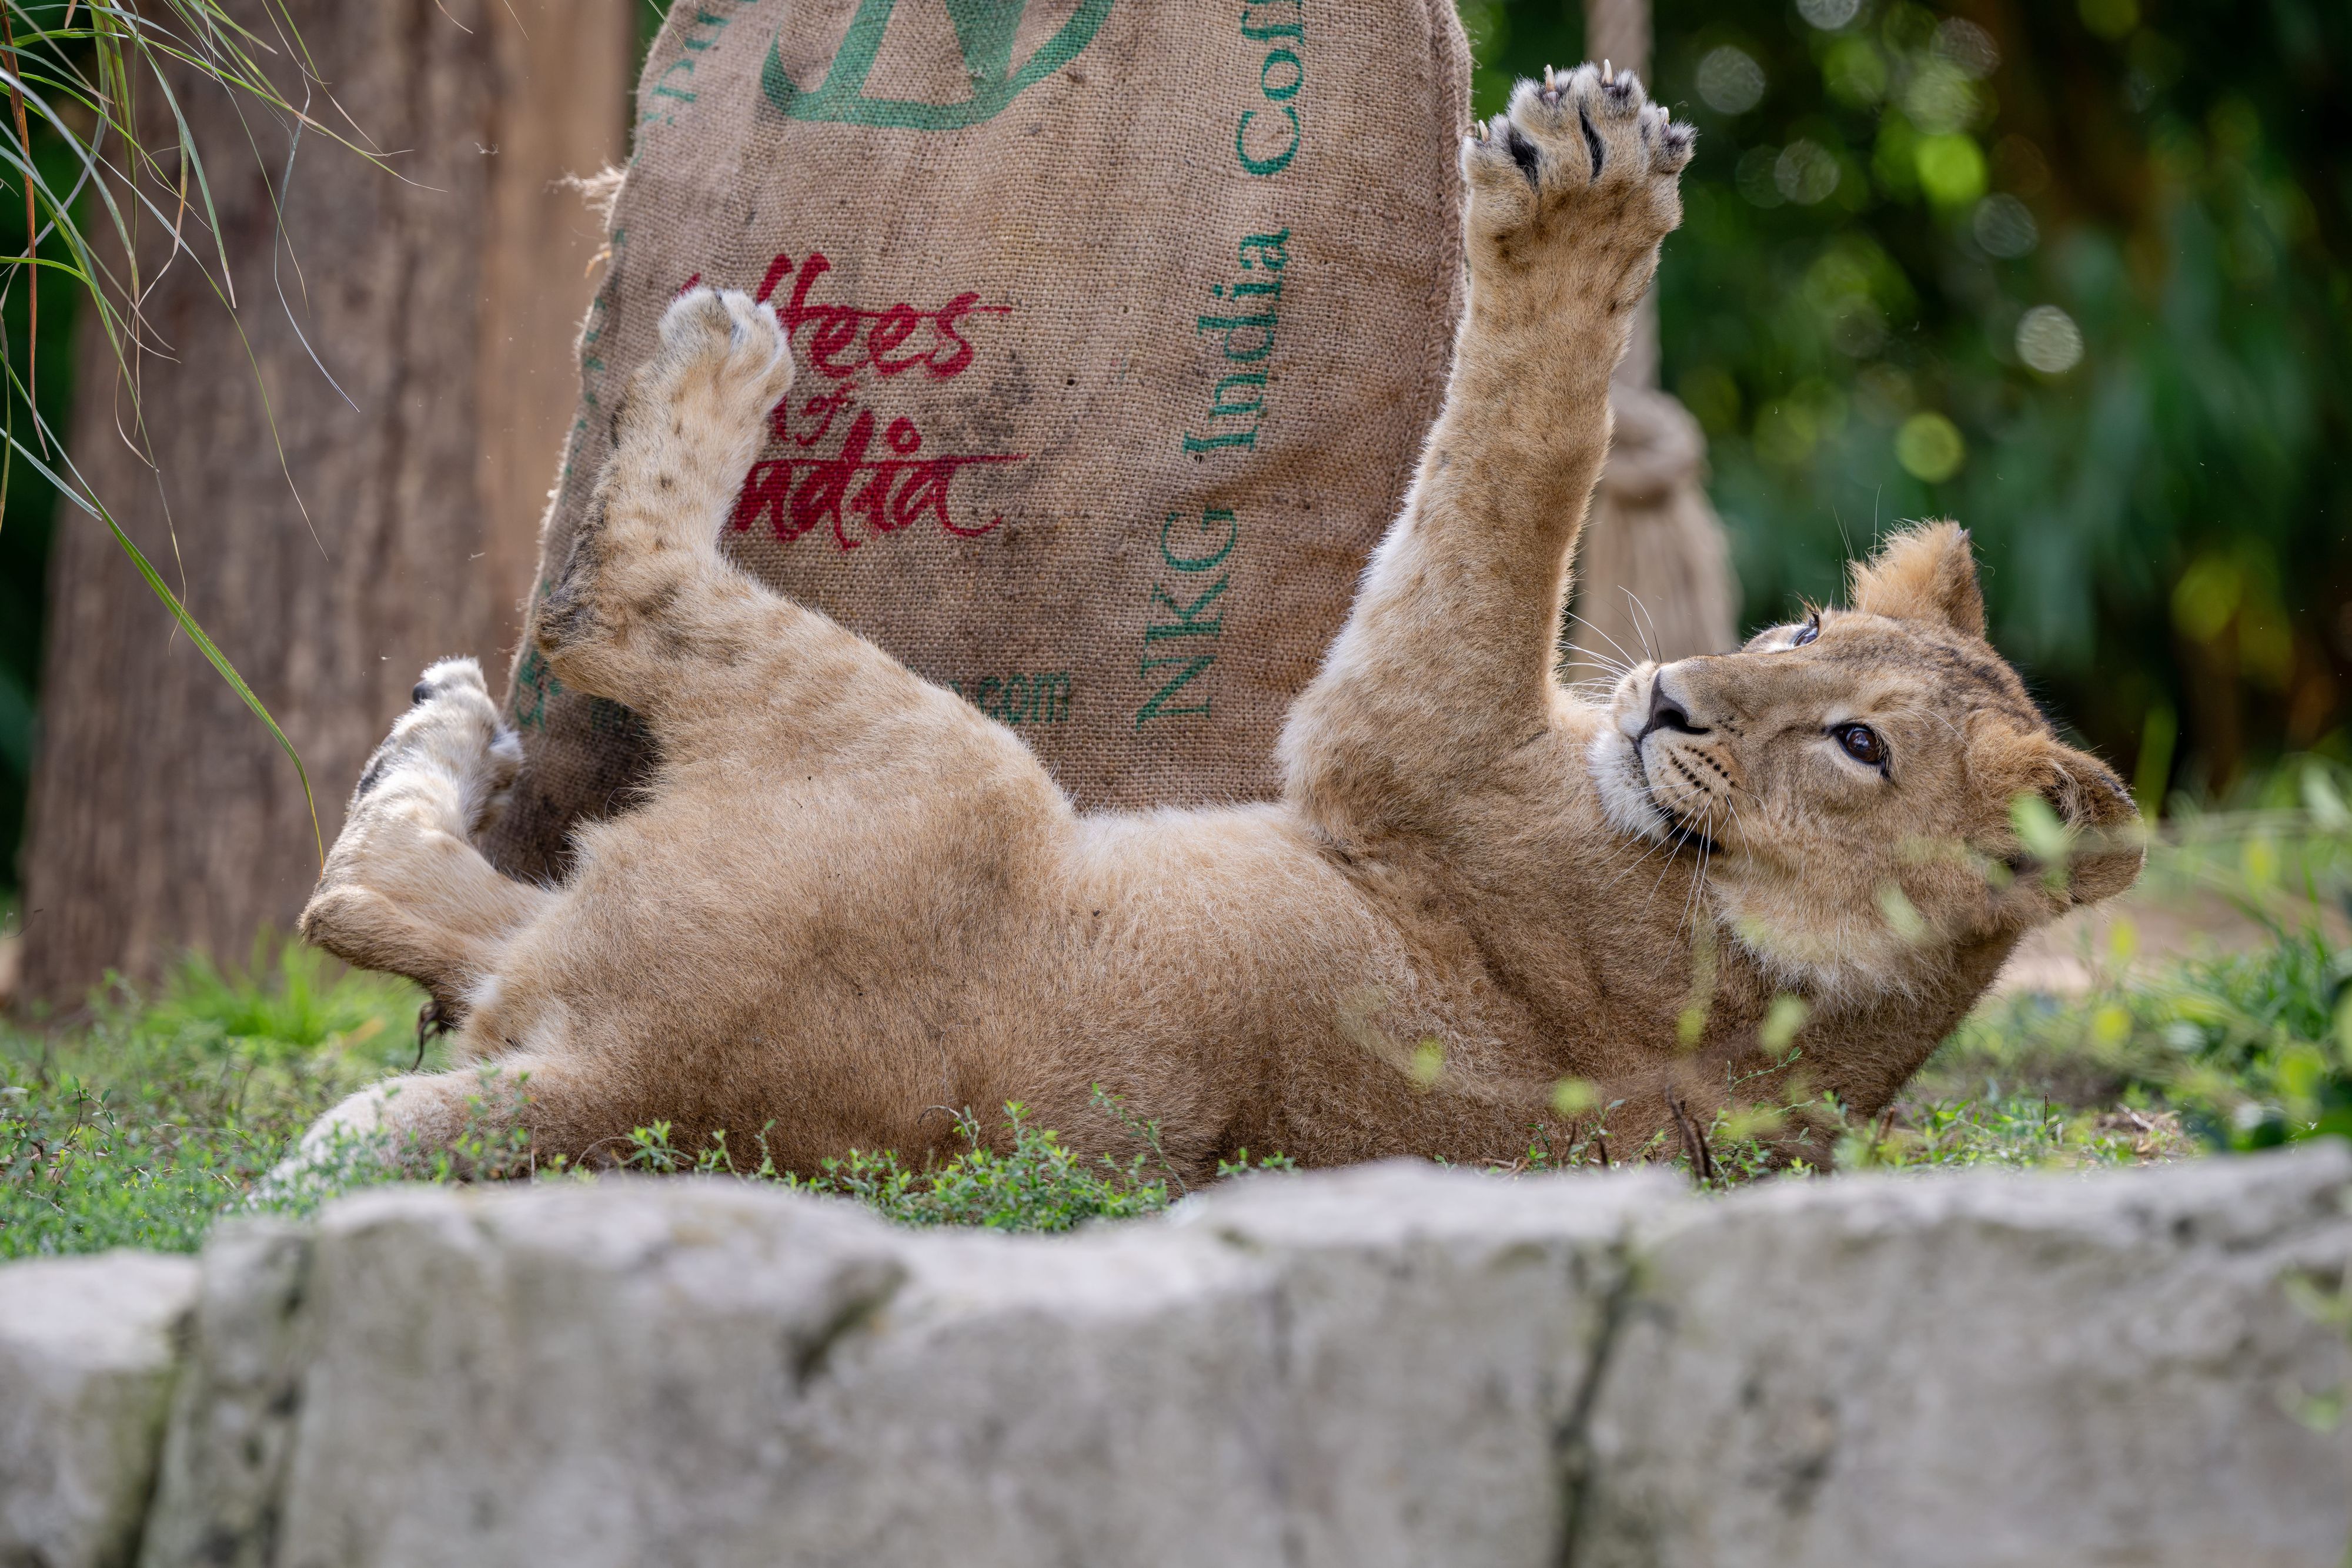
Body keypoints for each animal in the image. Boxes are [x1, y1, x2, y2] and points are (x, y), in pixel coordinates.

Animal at [288, 66, 2139, 1185]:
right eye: (1808, 631)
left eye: (1858, 747)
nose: (1668, 701)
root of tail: (630, 1089)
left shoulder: (1410, 735)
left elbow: (1520, 468)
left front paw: (1584, 194)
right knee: (370, 893)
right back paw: (437, 724)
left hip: (949, 767)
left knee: (604, 593)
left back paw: (716, 366)